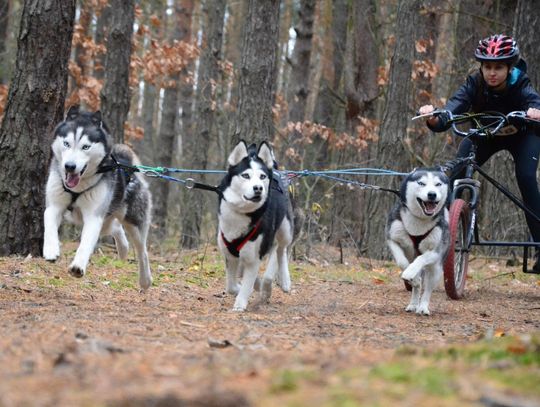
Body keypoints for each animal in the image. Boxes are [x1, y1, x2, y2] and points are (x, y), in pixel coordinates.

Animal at [41, 105, 152, 290]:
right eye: (66, 143)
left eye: (86, 147)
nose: (69, 166)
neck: (78, 187)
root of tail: (126, 163)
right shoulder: (54, 205)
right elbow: (48, 220)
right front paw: (51, 249)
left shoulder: (94, 217)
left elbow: (85, 243)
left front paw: (78, 266)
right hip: (106, 219)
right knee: (115, 228)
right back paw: (123, 249)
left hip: (133, 221)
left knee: (142, 251)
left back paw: (145, 280)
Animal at [217, 140, 296, 312]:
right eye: (246, 175)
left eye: (262, 176)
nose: (258, 188)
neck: (243, 213)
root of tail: (276, 173)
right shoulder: (229, 255)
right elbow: (231, 286)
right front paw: (251, 286)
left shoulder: (254, 257)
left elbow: (248, 282)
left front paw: (240, 305)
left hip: (284, 229)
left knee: (281, 250)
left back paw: (284, 280)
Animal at [386, 167, 450, 318]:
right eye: (421, 183)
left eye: (438, 184)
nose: (432, 194)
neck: (419, 221)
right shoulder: (392, 239)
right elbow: (402, 262)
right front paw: (412, 277)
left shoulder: (436, 252)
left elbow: (422, 258)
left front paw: (411, 272)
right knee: (418, 285)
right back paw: (413, 303)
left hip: (436, 269)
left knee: (427, 289)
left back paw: (422, 307)